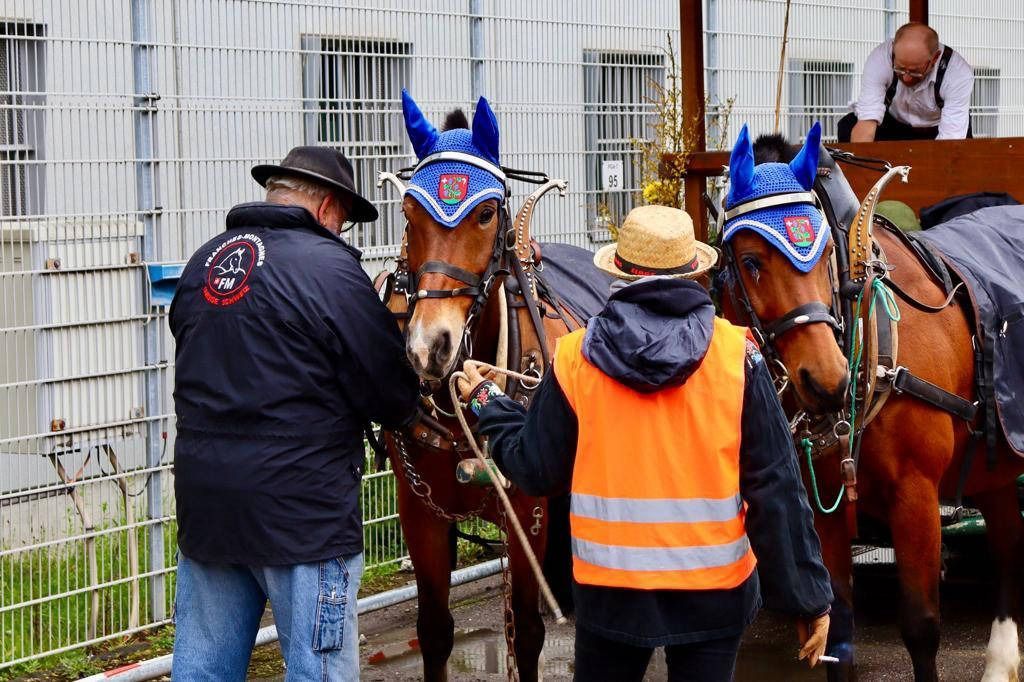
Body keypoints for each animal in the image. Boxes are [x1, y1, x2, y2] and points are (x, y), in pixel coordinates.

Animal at [374, 91, 596, 681]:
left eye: (486, 213)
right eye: (408, 213)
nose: (430, 345)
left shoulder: (530, 511)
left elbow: (529, 628)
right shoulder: (420, 513)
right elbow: (434, 630)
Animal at [712, 122, 1024, 681]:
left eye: (823, 257)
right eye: (750, 262)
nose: (827, 380)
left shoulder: (916, 496)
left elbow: (921, 626)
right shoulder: (825, 508)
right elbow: (836, 630)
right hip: (994, 465)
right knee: (1009, 543)